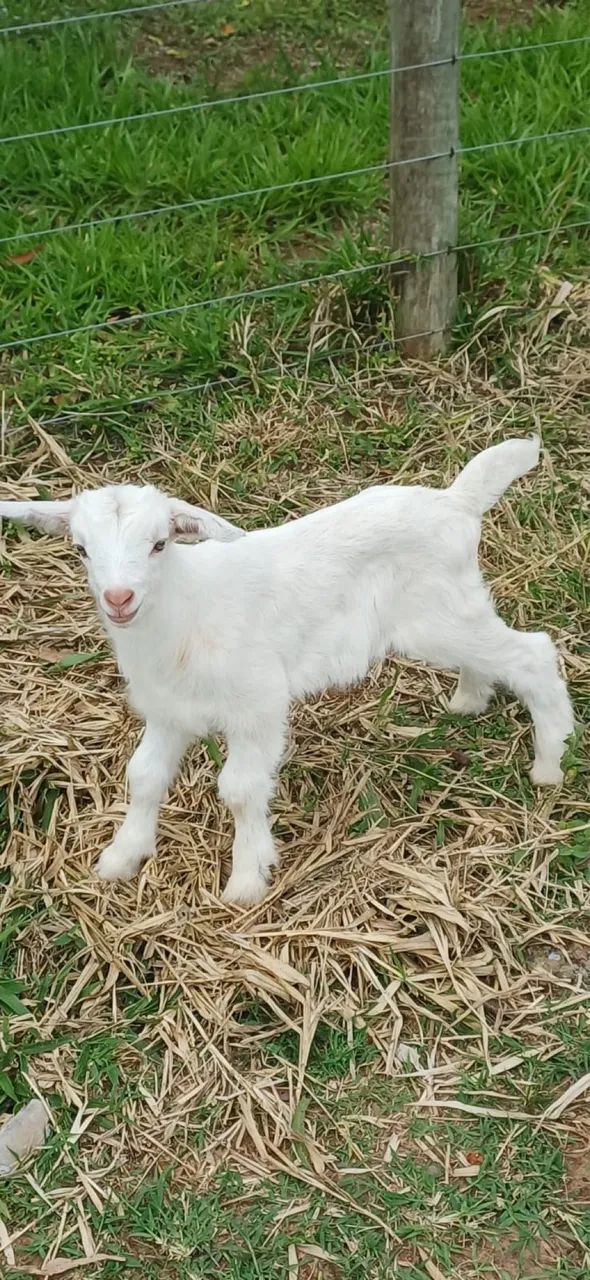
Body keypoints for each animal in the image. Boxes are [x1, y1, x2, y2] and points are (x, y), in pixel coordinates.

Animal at [0, 436, 574, 905]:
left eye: (160, 543)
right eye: (81, 549)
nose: (119, 599)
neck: (185, 610)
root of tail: (456, 501)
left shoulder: (257, 705)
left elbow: (238, 789)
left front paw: (246, 882)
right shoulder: (169, 712)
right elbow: (143, 776)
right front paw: (122, 857)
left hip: (440, 615)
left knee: (533, 653)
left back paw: (547, 765)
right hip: (446, 614)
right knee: (488, 654)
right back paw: (468, 701)